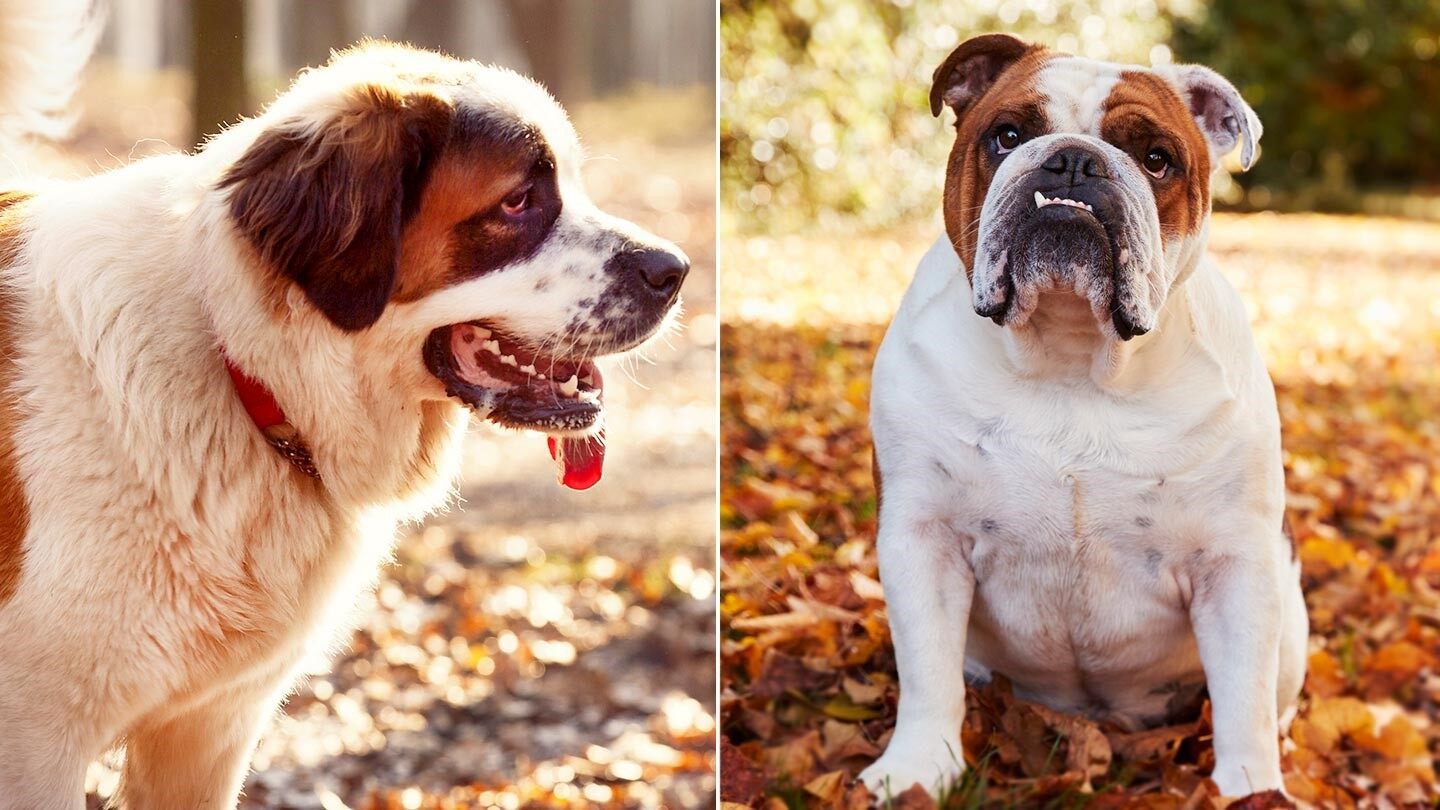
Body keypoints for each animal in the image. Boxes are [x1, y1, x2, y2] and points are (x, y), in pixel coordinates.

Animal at [858, 34, 1313, 795]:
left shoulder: (1236, 563)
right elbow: (927, 673)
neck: (1071, 358)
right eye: (1007, 135)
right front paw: (917, 769)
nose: (1073, 160)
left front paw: (1250, 790)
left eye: (1156, 158)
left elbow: (1243, 697)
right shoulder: (923, 537)